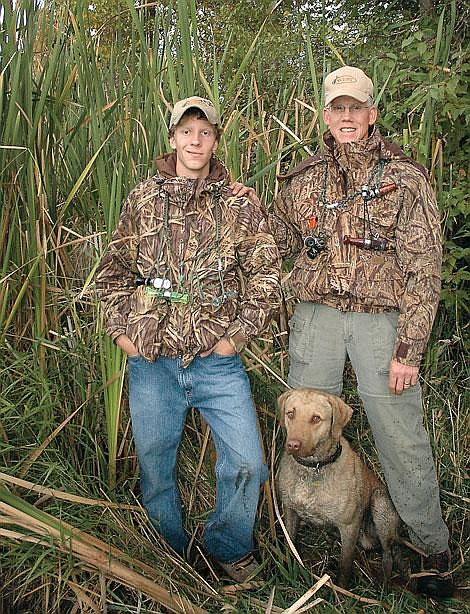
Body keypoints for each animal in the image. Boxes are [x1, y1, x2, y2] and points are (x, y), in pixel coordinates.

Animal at [278, 390, 406, 592]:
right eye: (290, 413)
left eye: (316, 418)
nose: (293, 445)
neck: (313, 468)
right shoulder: (290, 511)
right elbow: (289, 544)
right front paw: (289, 571)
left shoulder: (349, 526)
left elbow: (345, 565)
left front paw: (342, 591)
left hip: (380, 505)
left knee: (388, 554)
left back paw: (383, 587)